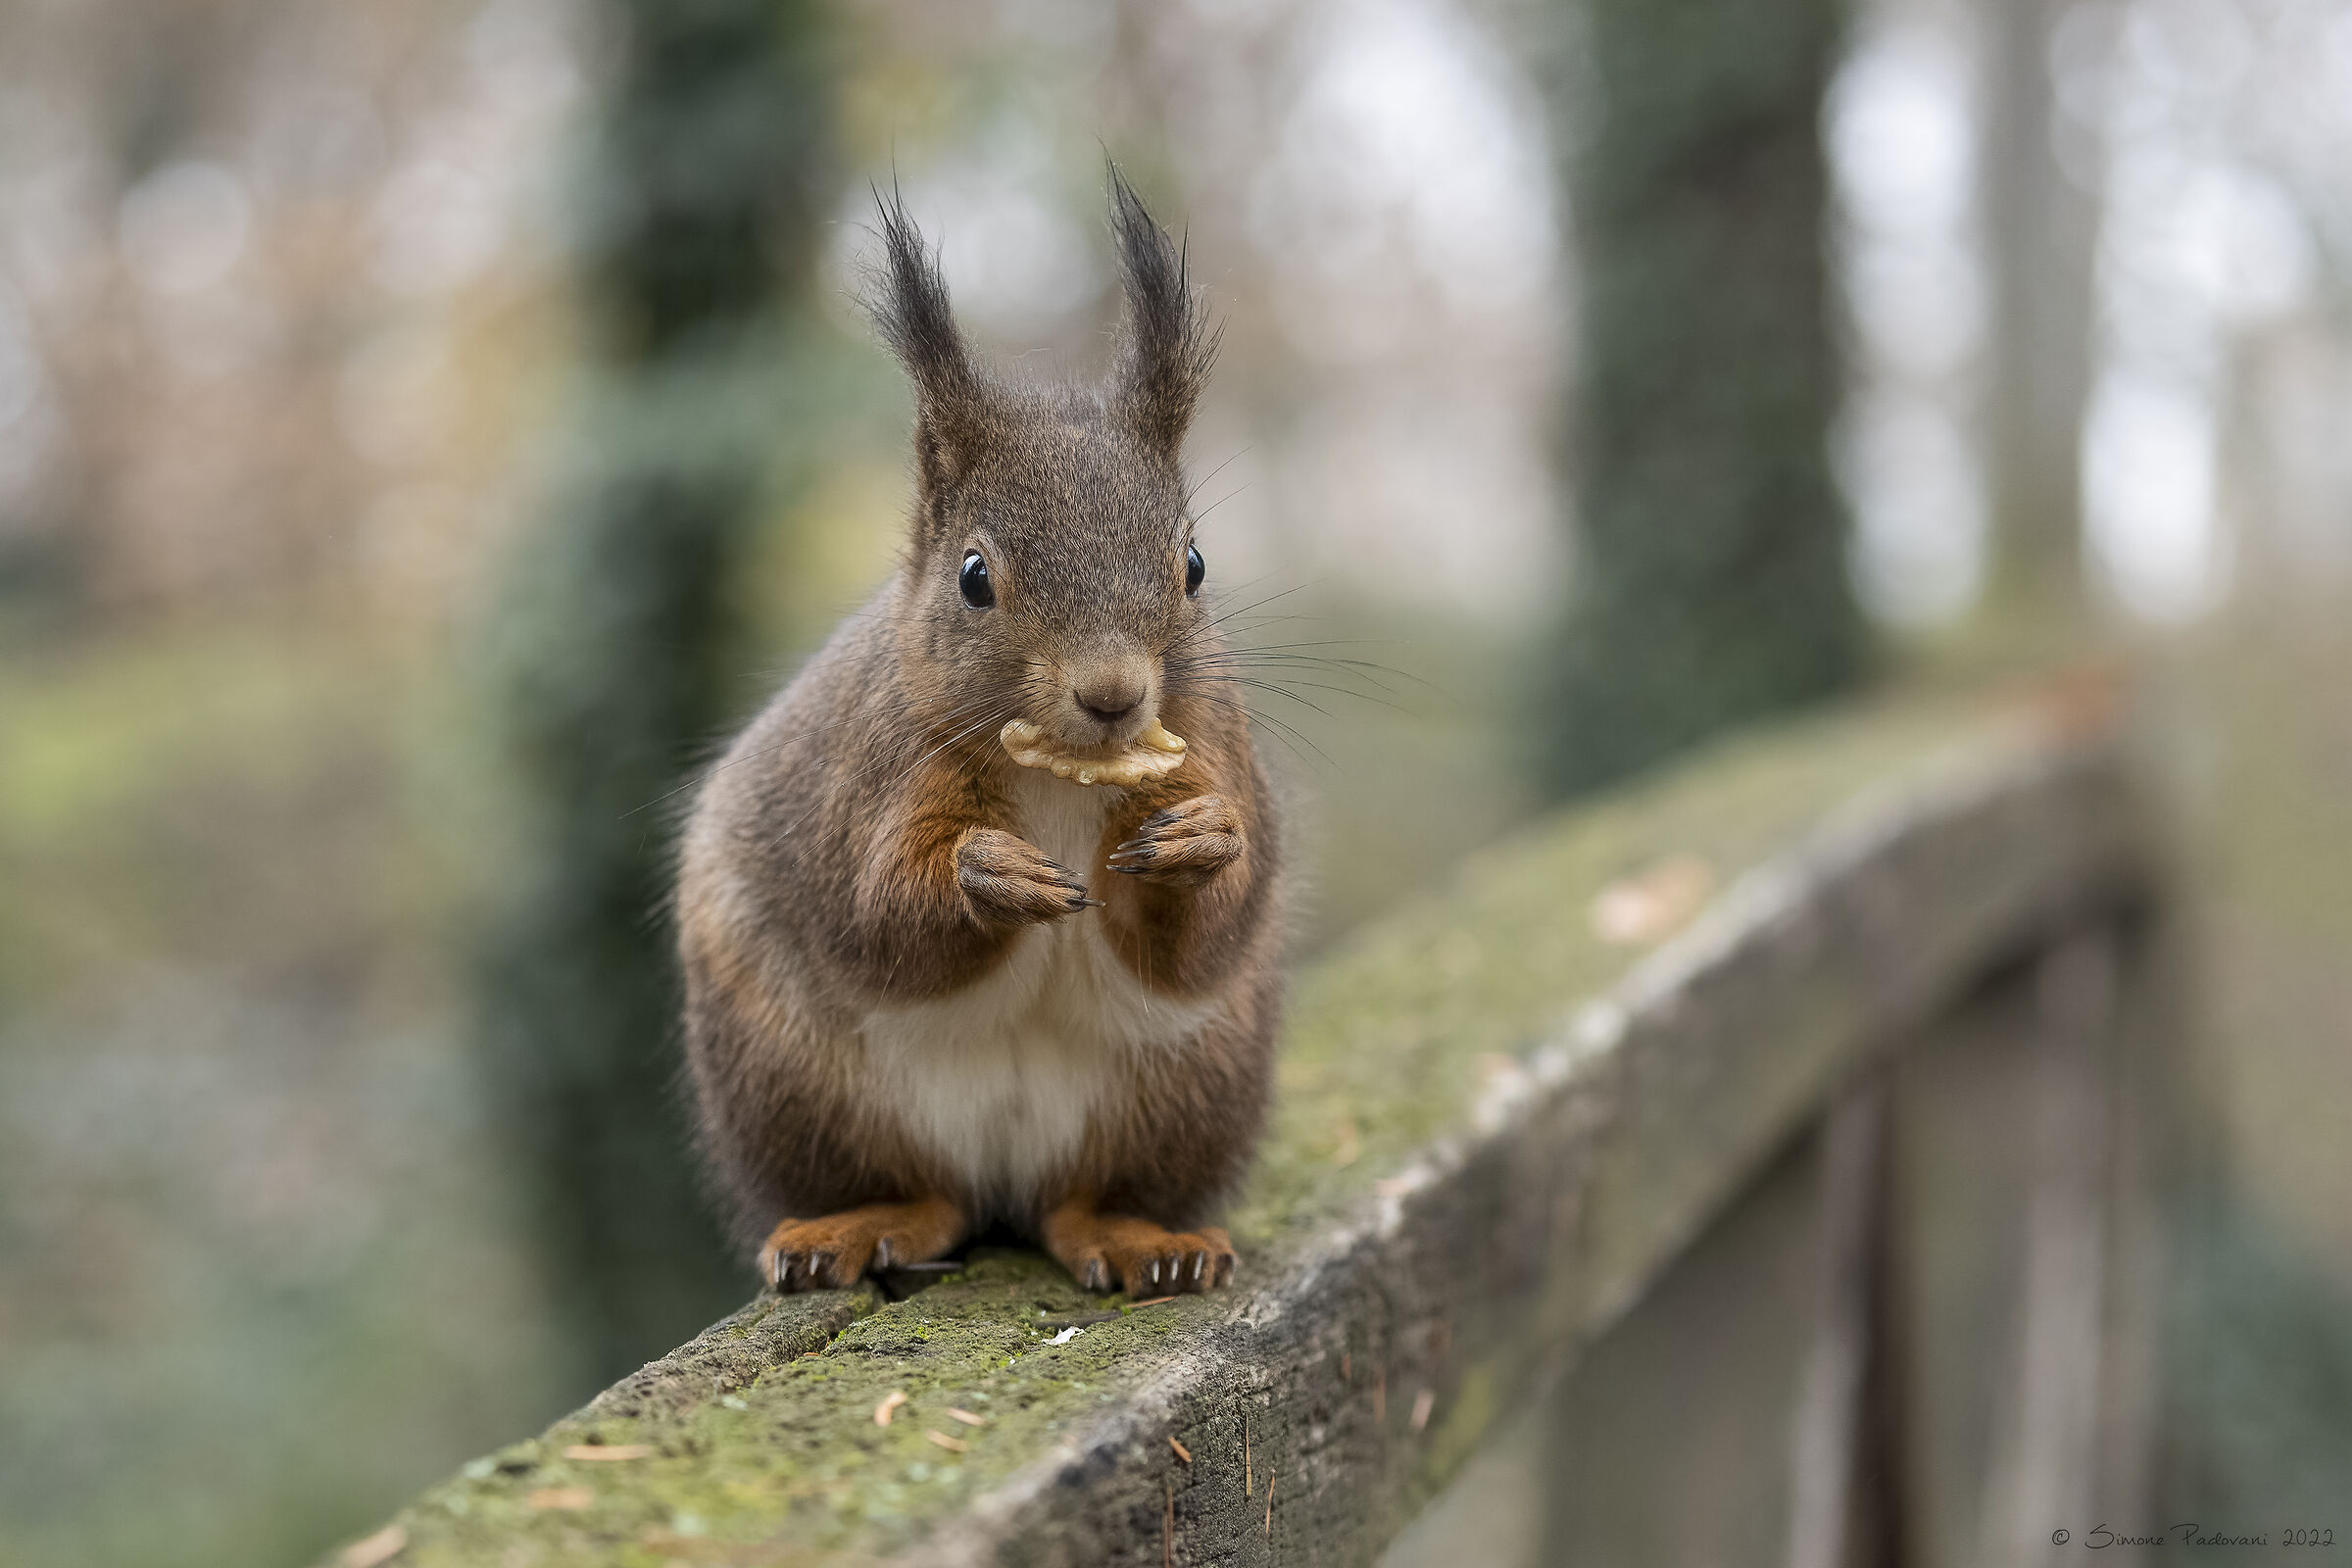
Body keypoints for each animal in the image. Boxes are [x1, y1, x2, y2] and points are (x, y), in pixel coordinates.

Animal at [675, 169, 1285, 1299]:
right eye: (972, 578)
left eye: (1193, 566)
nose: (1113, 696)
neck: (1062, 775)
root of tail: (1005, 1181)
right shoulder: (874, 772)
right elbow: (877, 911)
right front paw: (987, 873)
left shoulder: (1211, 740)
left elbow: (1202, 936)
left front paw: (1202, 841)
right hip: (795, 1078)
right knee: (925, 1195)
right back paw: (859, 1221)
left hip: (1190, 1085)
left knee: (1079, 1203)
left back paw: (1141, 1238)